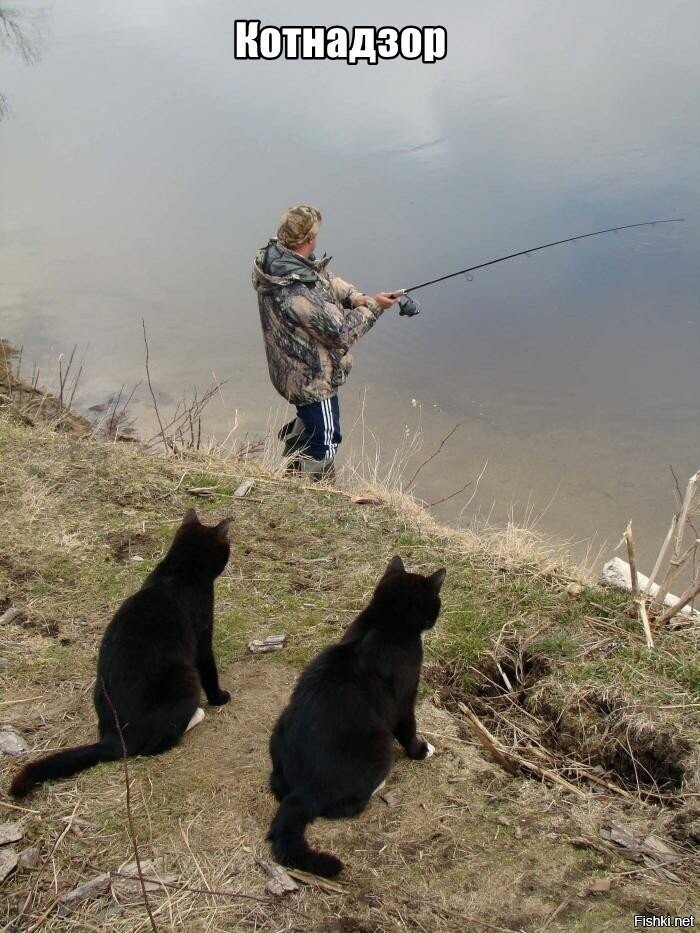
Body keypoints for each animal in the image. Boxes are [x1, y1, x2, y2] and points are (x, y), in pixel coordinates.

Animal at [10, 506, 231, 796]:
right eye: (227, 547)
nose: (231, 551)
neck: (178, 571)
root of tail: (114, 739)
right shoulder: (203, 633)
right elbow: (209, 669)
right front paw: (219, 697)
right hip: (184, 677)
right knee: (155, 746)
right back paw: (195, 715)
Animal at [266, 556, 446, 876]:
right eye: (436, 602)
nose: (439, 613)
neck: (385, 620)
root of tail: (302, 789)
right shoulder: (404, 696)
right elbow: (408, 727)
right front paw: (420, 750)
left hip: (280, 727)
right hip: (380, 744)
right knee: (346, 807)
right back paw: (377, 786)